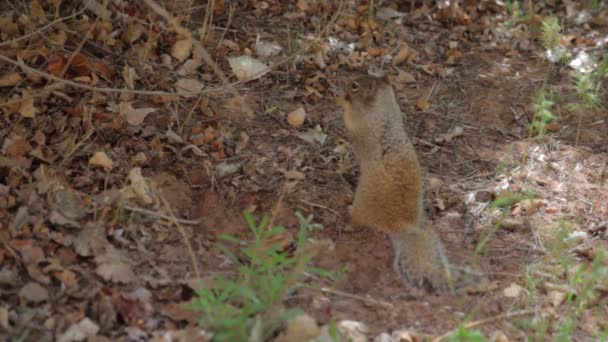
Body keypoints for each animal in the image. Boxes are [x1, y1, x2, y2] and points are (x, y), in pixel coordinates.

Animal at [340, 75, 454, 292]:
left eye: (355, 85)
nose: (345, 87)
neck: (384, 110)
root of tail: (399, 223)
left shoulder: (362, 127)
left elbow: (350, 123)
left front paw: (342, 103)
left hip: (363, 204)